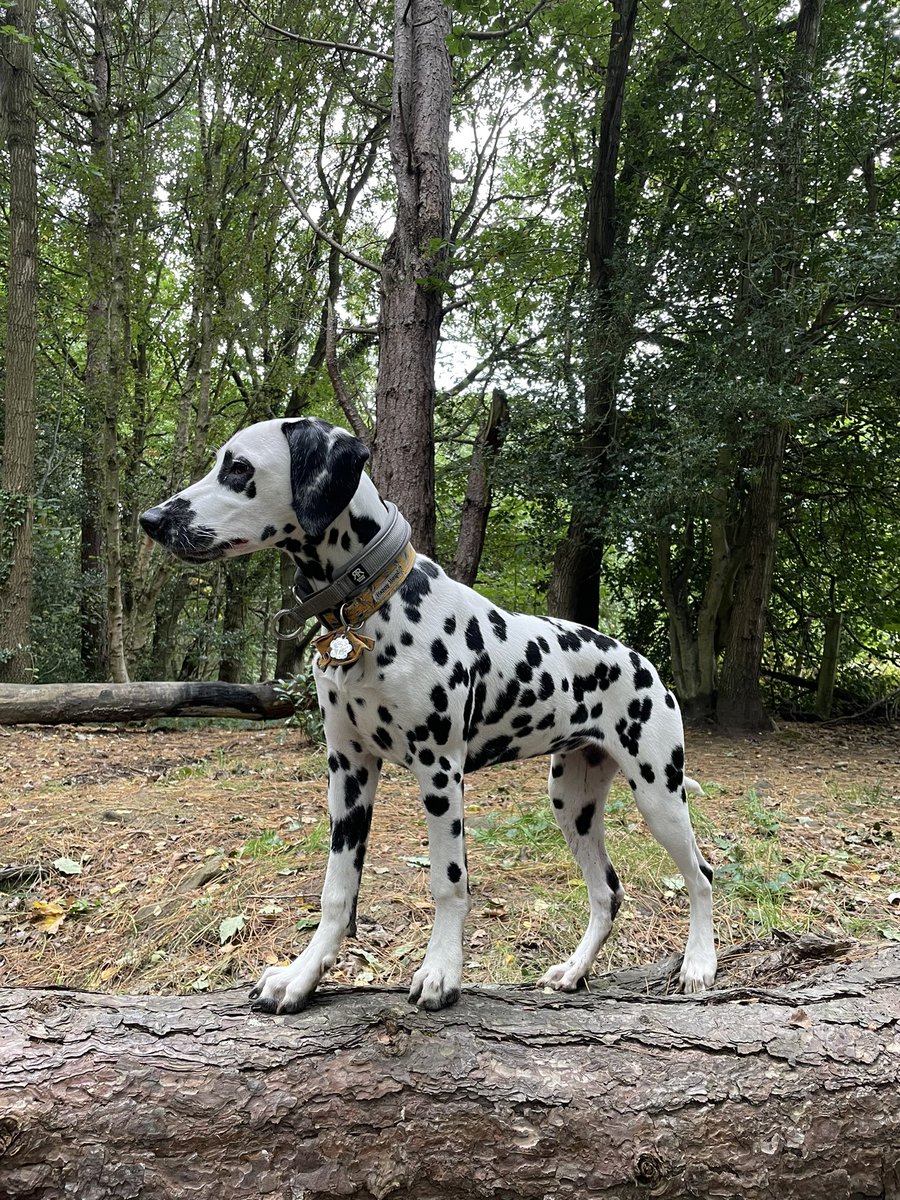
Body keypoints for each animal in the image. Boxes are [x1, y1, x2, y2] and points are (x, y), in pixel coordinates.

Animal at [141, 417, 720, 1008]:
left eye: (238, 468)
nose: (151, 520)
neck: (370, 610)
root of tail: (646, 667)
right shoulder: (348, 773)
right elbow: (336, 889)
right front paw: (302, 976)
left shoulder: (440, 773)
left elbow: (448, 880)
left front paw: (441, 970)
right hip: (571, 802)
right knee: (607, 891)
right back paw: (574, 971)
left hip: (658, 795)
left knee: (701, 875)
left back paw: (699, 964)